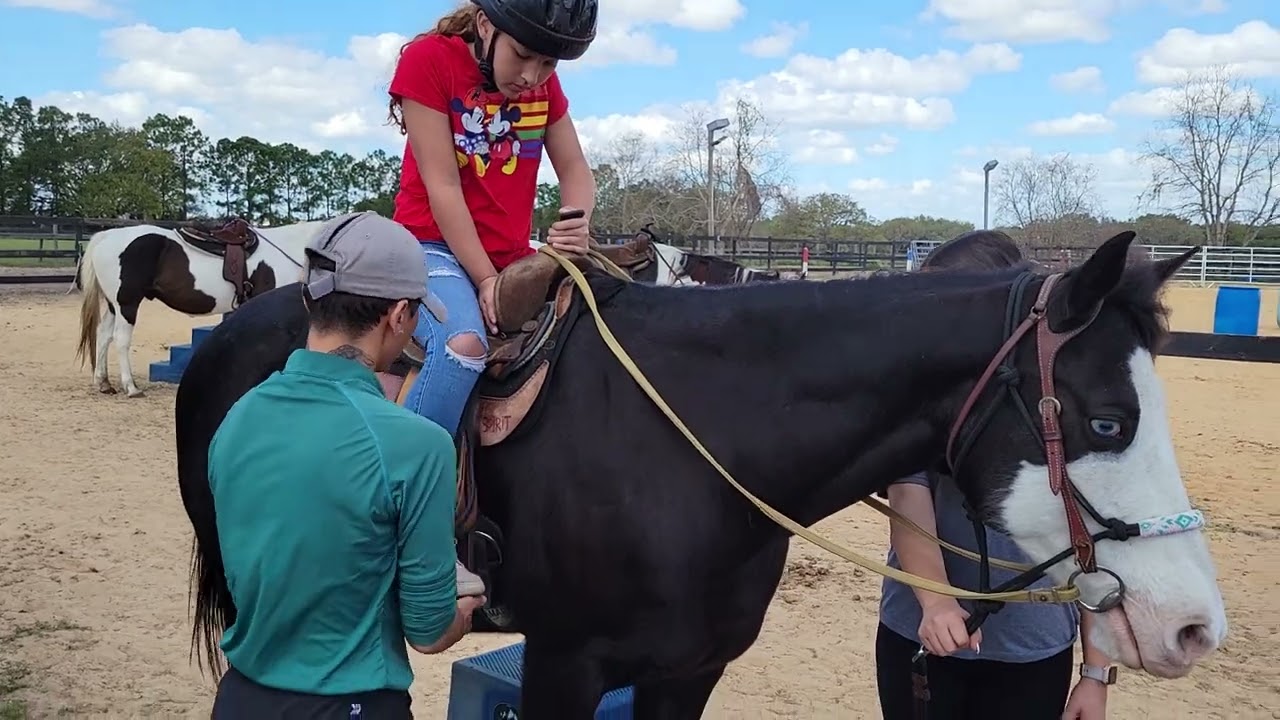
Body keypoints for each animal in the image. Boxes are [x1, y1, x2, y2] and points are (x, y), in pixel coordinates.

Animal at [72, 218, 322, 397]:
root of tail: (107, 236)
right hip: (127, 304)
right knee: (121, 340)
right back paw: (131, 387)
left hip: (114, 306)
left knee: (104, 336)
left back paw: (104, 383)